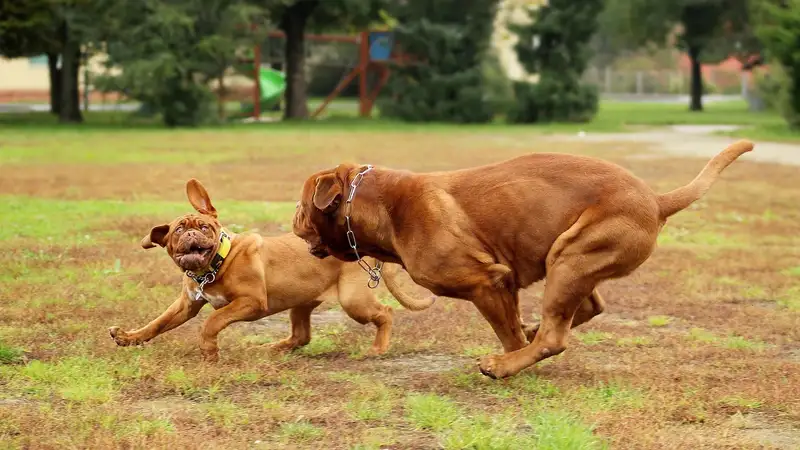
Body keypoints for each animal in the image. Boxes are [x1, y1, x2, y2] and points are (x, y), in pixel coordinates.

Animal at [109, 179, 434, 362]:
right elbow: (157, 323)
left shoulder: (251, 302)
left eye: (204, 227)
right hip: (302, 302)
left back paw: (378, 348)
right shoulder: (185, 305)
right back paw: (270, 349)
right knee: (301, 336)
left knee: (385, 313)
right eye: (178, 230)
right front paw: (128, 337)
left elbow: (212, 321)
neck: (216, 264)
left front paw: (210, 351)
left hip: (353, 301)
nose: (190, 235)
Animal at [296, 139, 756, 378]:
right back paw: (533, 330)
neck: (382, 205)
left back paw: (505, 364)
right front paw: (521, 336)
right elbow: (517, 325)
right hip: (572, 260)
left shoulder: (489, 282)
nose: (293, 219)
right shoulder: (507, 283)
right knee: (587, 307)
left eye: (301, 206)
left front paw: (508, 359)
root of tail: (657, 200)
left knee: (555, 336)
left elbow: (508, 334)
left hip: (570, 259)